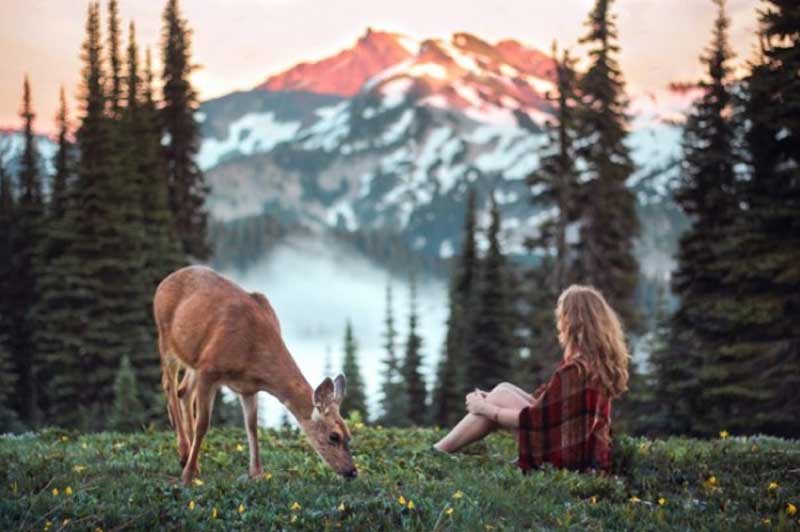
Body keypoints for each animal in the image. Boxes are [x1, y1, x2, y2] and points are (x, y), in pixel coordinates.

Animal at [153, 266, 356, 486]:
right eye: (334, 436)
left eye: (349, 435)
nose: (352, 471)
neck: (252, 352)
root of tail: (165, 281)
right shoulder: (209, 370)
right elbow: (203, 424)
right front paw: (187, 476)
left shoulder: (248, 388)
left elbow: (252, 427)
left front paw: (257, 473)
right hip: (166, 339)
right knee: (169, 385)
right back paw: (184, 454)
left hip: (193, 358)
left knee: (183, 391)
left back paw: (192, 457)